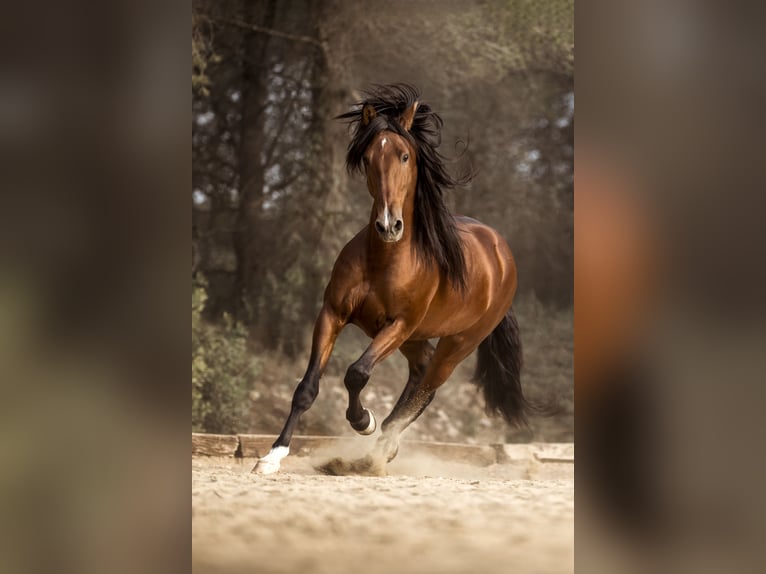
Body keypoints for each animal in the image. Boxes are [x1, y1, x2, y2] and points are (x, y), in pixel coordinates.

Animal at [254, 82, 540, 476]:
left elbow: (357, 373)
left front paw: (363, 421)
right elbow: (307, 387)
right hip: (415, 339)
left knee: (427, 388)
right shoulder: (333, 314)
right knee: (419, 377)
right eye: (368, 158)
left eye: (405, 156)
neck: (384, 260)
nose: (389, 225)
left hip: (456, 343)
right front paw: (272, 456)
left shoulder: (398, 324)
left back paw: (376, 449)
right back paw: (376, 452)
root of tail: (502, 253)